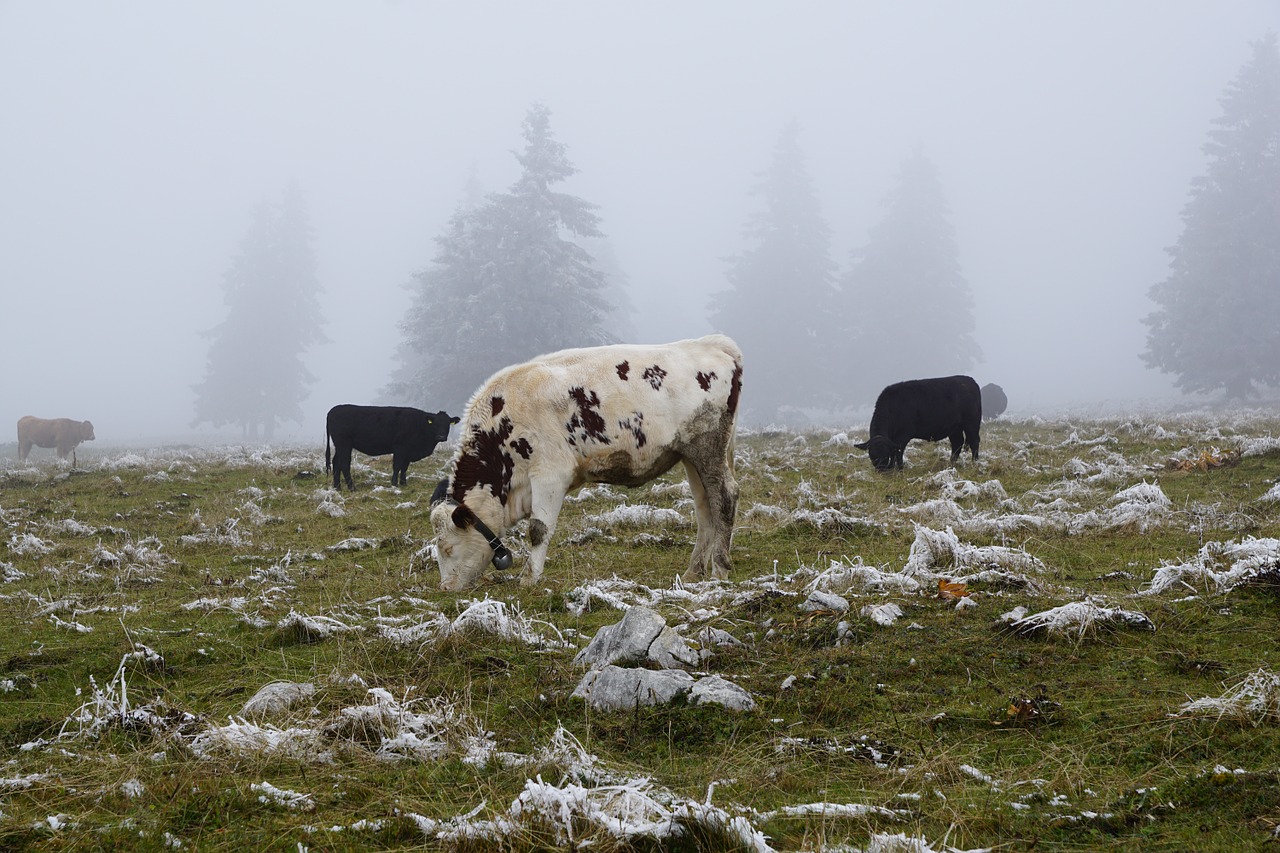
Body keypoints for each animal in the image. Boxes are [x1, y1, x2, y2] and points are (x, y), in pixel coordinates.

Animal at [325, 404, 460, 489]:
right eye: (435, 424)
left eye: (447, 424)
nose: (441, 436)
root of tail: (332, 411)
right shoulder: (400, 448)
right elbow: (397, 466)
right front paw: (394, 484)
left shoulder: (408, 452)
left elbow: (404, 468)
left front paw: (403, 483)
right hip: (344, 444)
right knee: (344, 464)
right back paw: (352, 487)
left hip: (340, 446)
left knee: (336, 462)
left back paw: (337, 487)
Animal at [432, 335, 747, 589]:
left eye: (447, 548)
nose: (445, 588)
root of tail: (711, 343)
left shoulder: (549, 474)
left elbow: (538, 530)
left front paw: (529, 579)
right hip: (691, 456)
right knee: (705, 507)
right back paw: (694, 571)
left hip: (708, 448)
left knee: (725, 496)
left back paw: (720, 569)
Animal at [855, 376, 983, 471]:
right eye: (872, 455)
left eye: (885, 454)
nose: (882, 470)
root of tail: (970, 380)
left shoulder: (903, 435)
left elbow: (898, 452)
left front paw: (900, 469)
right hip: (954, 428)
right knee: (957, 443)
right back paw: (951, 464)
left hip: (972, 423)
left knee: (974, 441)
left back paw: (974, 463)